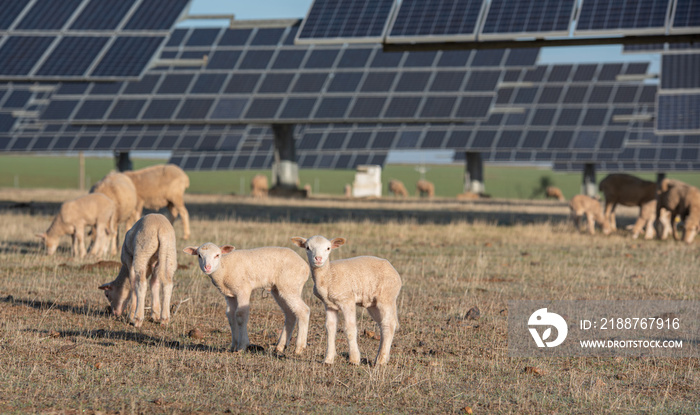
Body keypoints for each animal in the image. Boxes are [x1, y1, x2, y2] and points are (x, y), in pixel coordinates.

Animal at [288, 237, 400, 368]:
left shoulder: (347, 300)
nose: (318, 259)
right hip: (373, 304)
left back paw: (381, 361)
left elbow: (350, 328)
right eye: (307, 247)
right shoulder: (329, 305)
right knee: (383, 325)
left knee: (389, 324)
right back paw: (381, 357)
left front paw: (354, 359)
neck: (328, 275)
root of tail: (393, 269)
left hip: (386, 297)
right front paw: (328, 359)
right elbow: (330, 328)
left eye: (328, 248)